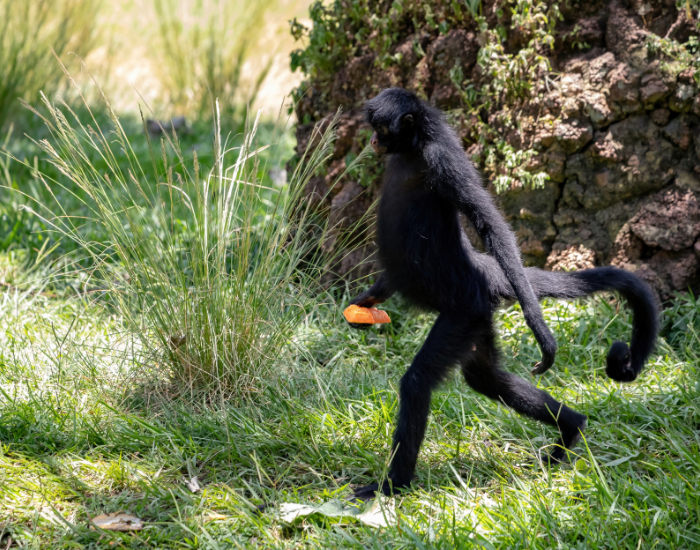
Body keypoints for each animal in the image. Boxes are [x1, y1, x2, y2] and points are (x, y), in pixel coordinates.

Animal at [347, 88, 658, 500]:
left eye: (381, 128)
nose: (373, 141)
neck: (416, 148)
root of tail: (482, 271)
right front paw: (366, 303)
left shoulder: (443, 160)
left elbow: (490, 224)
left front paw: (539, 327)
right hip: (478, 317)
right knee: (485, 377)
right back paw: (572, 426)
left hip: (464, 312)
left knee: (419, 383)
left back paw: (391, 486)